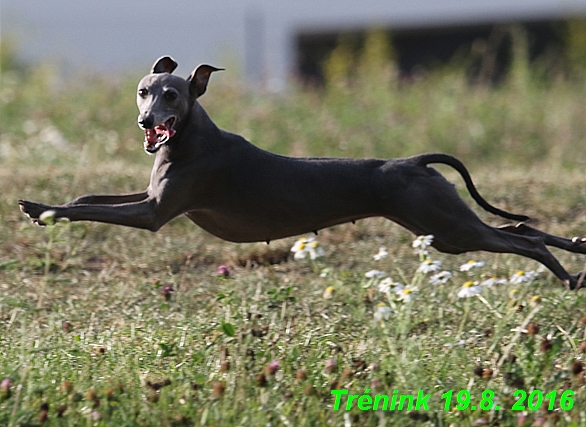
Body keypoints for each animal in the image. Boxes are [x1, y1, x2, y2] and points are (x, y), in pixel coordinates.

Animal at [18, 55, 584, 290]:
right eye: (143, 90)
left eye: (172, 95)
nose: (146, 122)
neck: (193, 139)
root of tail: (413, 162)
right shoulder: (150, 196)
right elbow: (89, 199)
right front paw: (44, 205)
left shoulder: (155, 212)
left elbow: (80, 210)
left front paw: (39, 208)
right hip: (444, 227)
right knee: (523, 226)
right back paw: (577, 250)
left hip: (448, 229)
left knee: (523, 239)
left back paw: (566, 273)